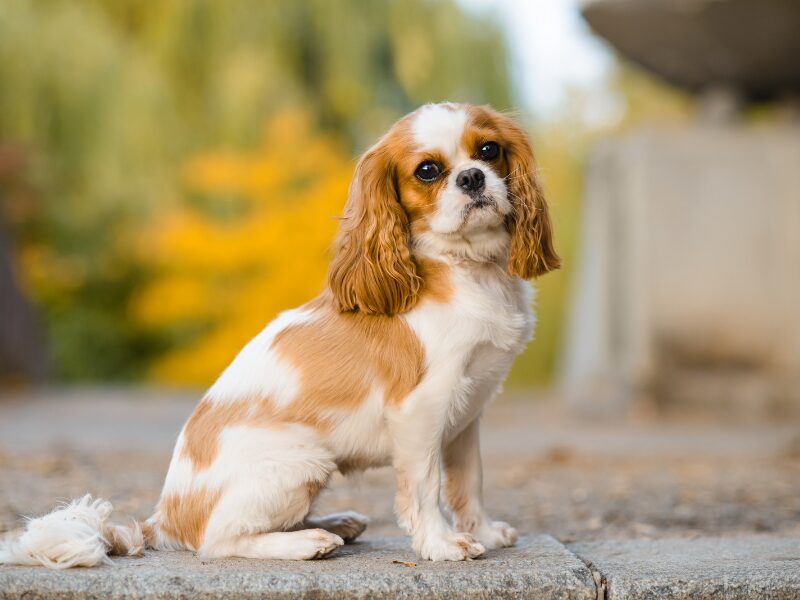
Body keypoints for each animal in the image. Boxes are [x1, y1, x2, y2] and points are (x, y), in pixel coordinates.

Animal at [0, 102, 560, 568]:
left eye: (489, 151)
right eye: (428, 171)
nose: (473, 178)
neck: (467, 269)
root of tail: (164, 520)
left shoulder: (465, 416)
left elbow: (469, 481)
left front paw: (483, 532)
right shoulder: (421, 411)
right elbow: (426, 488)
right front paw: (442, 545)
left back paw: (336, 523)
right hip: (303, 463)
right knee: (219, 541)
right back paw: (306, 542)